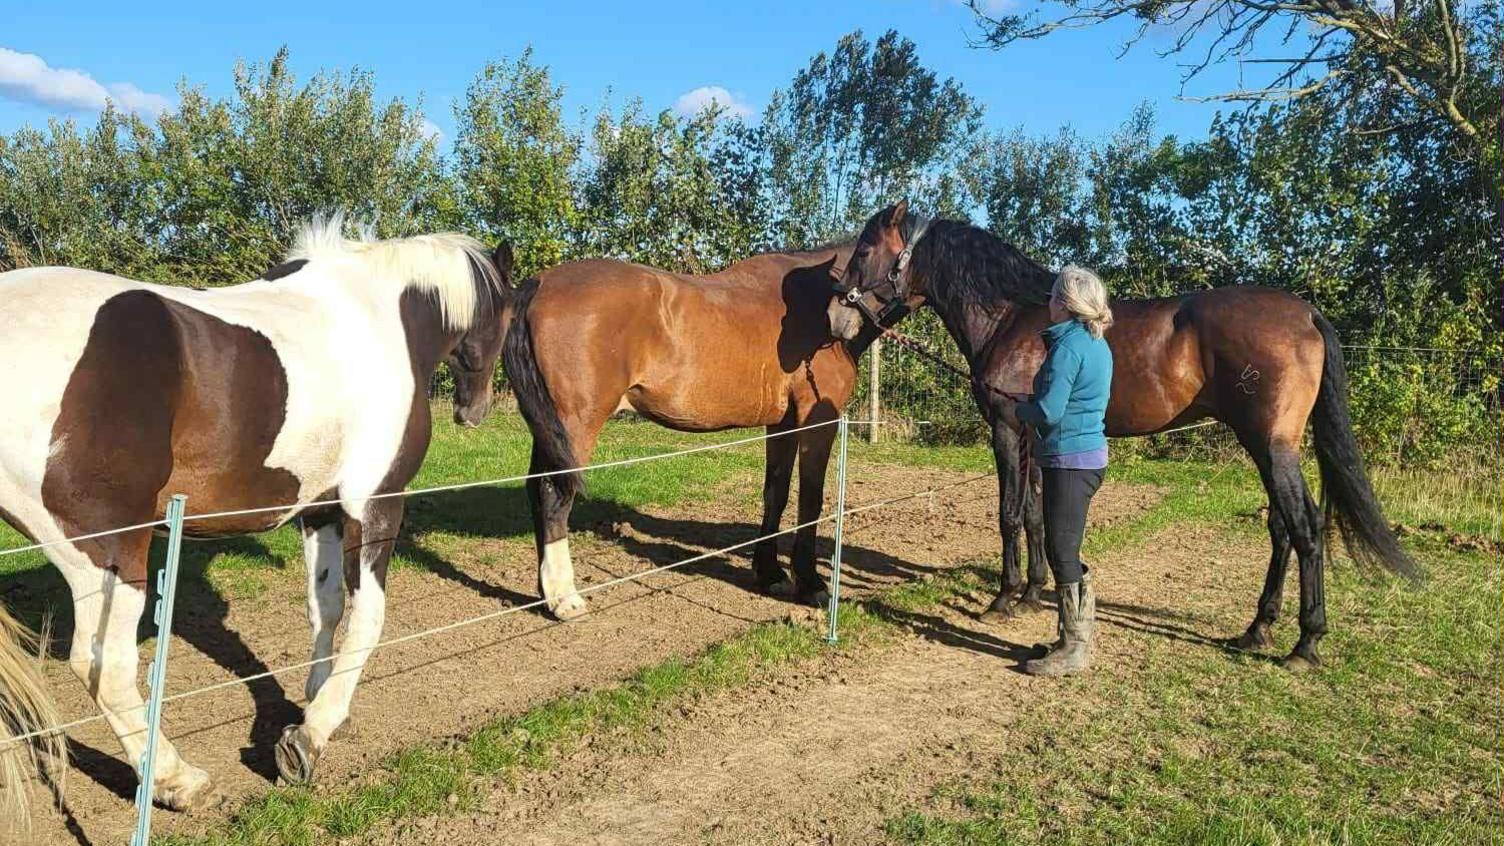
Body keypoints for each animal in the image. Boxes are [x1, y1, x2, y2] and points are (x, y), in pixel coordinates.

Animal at [0, 219, 513, 824]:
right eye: (508, 315)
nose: (473, 412)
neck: (379, 313)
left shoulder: (321, 510)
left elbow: (326, 607)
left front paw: (315, 702)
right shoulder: (375, 500)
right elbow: (369, 616)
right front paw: (311, 735)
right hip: (110, 553)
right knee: (104, 666)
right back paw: (177, 781)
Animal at [502, 242, 881, 620]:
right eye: (866, 251)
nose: (840, 320)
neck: (814, 303)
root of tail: (538, 284)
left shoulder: (782, 423)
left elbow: (777, 493)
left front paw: (771, 575)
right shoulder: (817, 421)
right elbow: (810, 500)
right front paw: (811, 584)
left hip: (550, 431)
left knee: (536, 487)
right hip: (575, 423)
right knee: (554, 492)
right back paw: (564, 599)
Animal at [828, 201, 1417, 670]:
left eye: (864, 250)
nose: (837, 318)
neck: (1012, 317)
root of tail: (1309, 314)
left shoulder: (1007, 429)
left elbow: (1010, 513)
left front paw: (1003, 598)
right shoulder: (1036, 437)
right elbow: (1038, 515)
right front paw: (1033, 594)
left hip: (1271, 448)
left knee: (1305, 528)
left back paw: (1305, 644)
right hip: (1267, 450)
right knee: (1280, 530)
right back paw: (1256, 631)